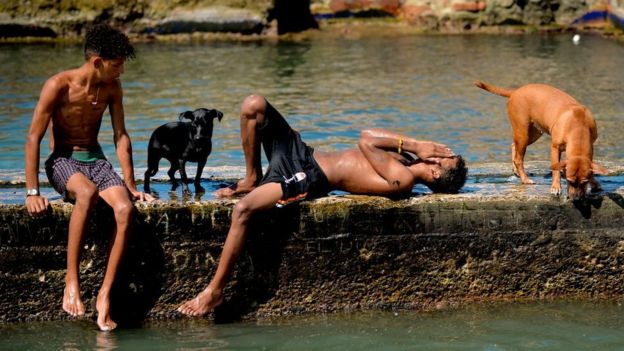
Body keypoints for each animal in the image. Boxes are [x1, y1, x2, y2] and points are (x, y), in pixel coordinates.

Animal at [476, 81, 608, 199]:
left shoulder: (590, 148)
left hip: (534, 133)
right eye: (569, 180)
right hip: (523, 133)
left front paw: (594, 183)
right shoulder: (555, 147)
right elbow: (555, 170)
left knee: (514, 145)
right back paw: (525, 179)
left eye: (584, 182)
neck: (578, 126)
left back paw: (515, 170)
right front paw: (555, 187)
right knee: (519, 158)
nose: (575, 198)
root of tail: (515, 91)